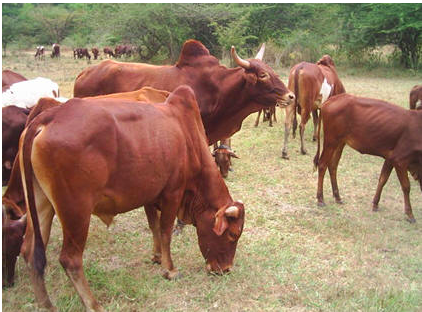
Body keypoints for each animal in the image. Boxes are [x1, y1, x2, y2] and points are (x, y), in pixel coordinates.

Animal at [18, 85, 246, 312]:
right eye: (233, 235)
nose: (225, 269)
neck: (188, 139)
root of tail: (49, 117)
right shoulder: (173, 193)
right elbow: (165, 231)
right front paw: (169, 269)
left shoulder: (150, 195)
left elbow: (154, 226)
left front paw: (156, 257)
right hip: (76, 210)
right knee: (70, 259)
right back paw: (93, 304)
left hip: (41, 203)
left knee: (30, 252)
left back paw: (46, 304)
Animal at [314, 94, 422, 223]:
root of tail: (330, 101)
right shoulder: (399, 160)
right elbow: (406, 186)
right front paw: (410, 214)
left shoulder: (390, 158)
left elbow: (382, 179)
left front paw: (375, 204)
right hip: (331, 141)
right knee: (322, 165)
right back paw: (320, 199)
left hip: (340, 142)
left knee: (332, 166)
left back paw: (337, 197)